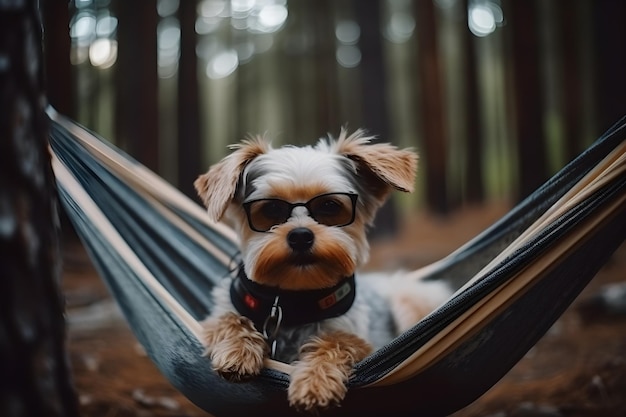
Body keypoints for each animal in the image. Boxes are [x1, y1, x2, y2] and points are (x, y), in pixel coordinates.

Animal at [193, 129, 450, 412]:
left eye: (330, 206)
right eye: (271, 209)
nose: (300, 236)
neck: (292, 300)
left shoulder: (360, 339)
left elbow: (337, 341)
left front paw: (315, 383)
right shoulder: (220, 313)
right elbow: (228, 318)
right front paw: (237, 350)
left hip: (409, 300)